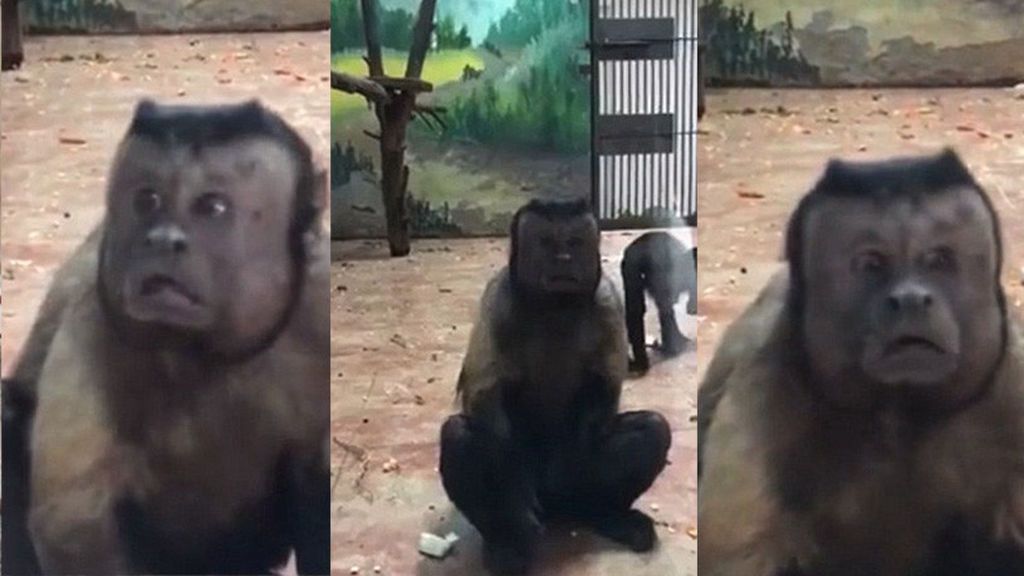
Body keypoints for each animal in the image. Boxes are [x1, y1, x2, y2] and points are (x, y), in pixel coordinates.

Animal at [0, 99, 330, 575]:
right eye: (147, 200)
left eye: (211, 207)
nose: (161, 239)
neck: (204, 350)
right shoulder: (96, 312)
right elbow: (74, 523)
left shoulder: (317, 303)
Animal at [438, 198, 673, 575]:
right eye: (548, 244)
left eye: (573, 243)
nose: (563, 259)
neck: (555, 307)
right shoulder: (499, 297)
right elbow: (483, 395)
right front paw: (515, 495)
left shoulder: (607, 299)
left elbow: (604, 388)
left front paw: (573, 460)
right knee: (459, 435)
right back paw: (507, 542)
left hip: (572, 496)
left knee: (651, 429)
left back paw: (605, 514)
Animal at [697, 149, 1024, 576]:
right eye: (872, 264)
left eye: (938, 260)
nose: (910, 299)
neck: (900, 414)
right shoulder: (763, 392)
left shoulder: (1014, 385)